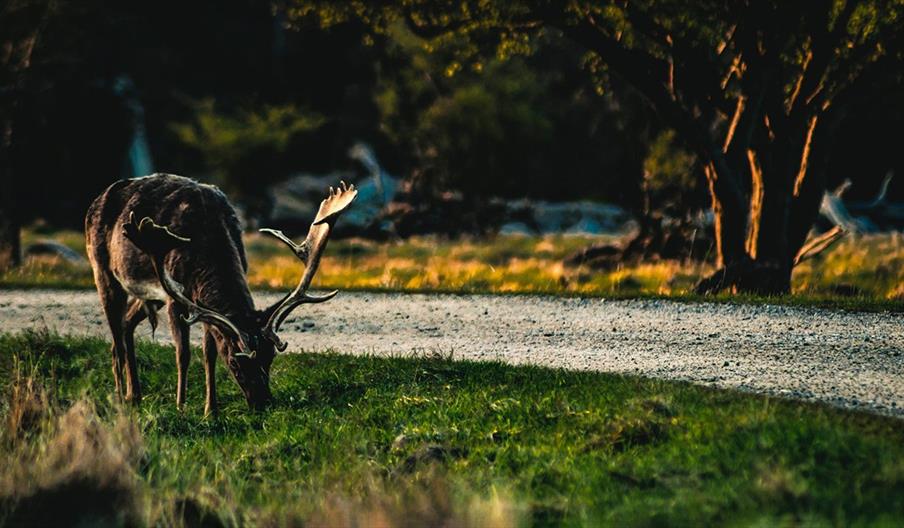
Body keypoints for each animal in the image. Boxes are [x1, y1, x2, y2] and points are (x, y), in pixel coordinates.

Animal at [85, 173, 356, 415]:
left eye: (270, 357)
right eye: (235, 362)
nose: (263, 403)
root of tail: (94, 201)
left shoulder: (203, 305)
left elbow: (210, 353)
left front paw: (211, 410)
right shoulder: (176, 298)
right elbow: (183, 354)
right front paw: (181, 407)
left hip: (148, 297)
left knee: (126, 325)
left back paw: (134, 395)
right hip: (103, 272)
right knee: (116, 341)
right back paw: (120, 397)